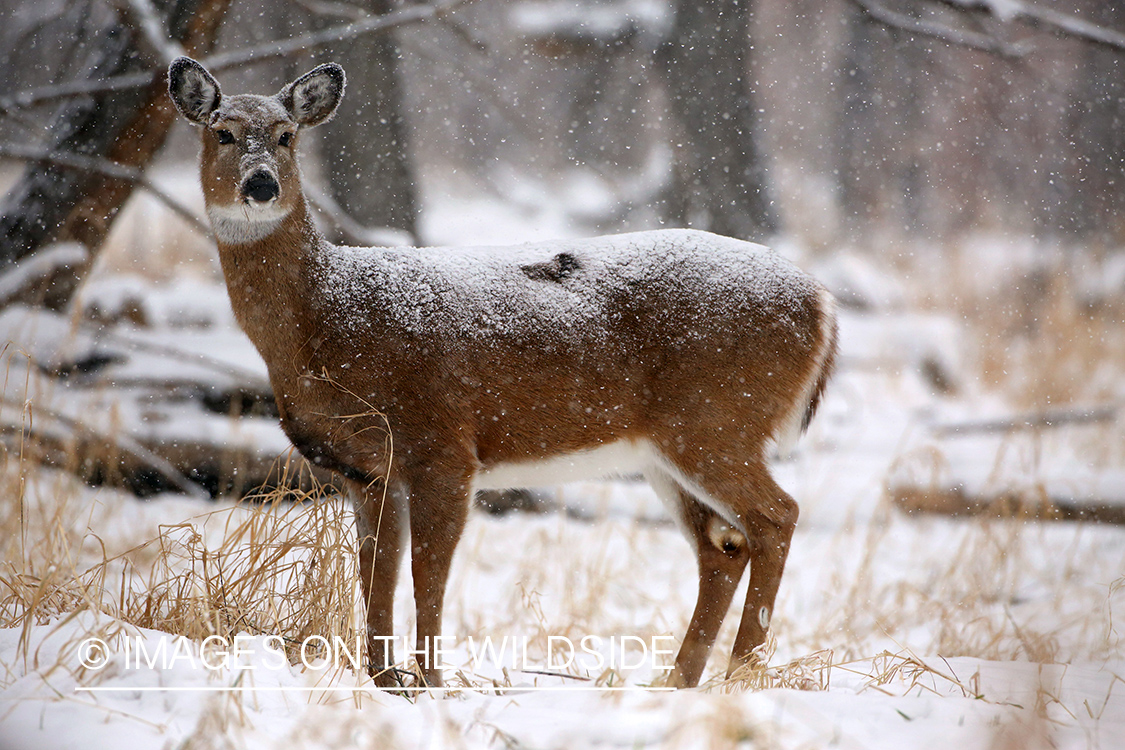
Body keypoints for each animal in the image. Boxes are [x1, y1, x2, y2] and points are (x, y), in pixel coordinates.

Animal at [166, 58, 837, 688]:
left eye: (286, 135)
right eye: (223, 132)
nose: (260, 184)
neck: (325, 319)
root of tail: (820, 304)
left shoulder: (441, 443)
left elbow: (428, 573)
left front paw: (430, 683)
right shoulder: (365, 469)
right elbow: (376, 575)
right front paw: (386, 681)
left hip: (716, 420)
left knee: (776, 516)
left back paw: (739, 675)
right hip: (666, 449)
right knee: (722, 546)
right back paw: (679, 684)